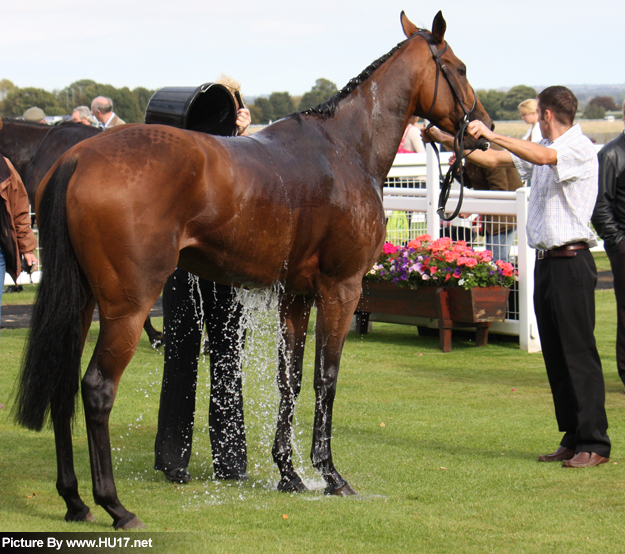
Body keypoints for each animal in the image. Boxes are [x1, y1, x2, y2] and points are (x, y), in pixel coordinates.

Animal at [11, 8, 492, 528]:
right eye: (460, 68)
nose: (482, 127)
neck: (345, 147)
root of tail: (78, 157)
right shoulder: (340, 289)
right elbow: (326, 378)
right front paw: (330, 475)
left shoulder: (295, 295)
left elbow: (291, 380)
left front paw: (289, 473)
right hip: (127, 308)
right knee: (97, 390)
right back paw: (114, 506)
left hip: (80, 302)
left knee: (62, 384)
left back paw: (74, 501)